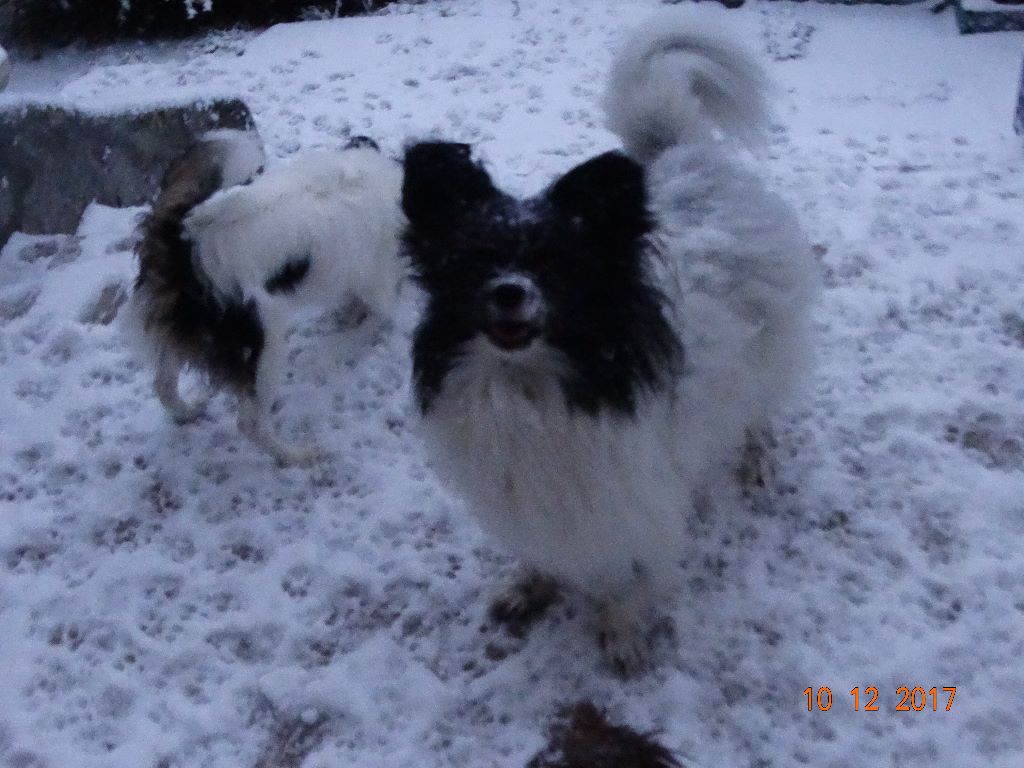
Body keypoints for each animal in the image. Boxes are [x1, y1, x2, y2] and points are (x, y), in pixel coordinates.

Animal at [134, 132, 405, 466]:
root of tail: (184, 248)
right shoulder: (376, 282)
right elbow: (377, 316)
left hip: (185, 330)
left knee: (164, 384)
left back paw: (188, 412)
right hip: (266, 345)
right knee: (250, 425)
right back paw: (295, 455)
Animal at [403, 12, 819, 671]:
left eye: (553, 264)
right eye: (473, 262)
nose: (509, 292)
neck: (529, 388)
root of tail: (685, 152)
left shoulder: (638, 496)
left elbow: (636, 573)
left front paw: (623, 632)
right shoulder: (535, 501)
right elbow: (542, 554)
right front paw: (531, 587)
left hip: (766, 347)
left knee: (759, 407)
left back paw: (756, 459)